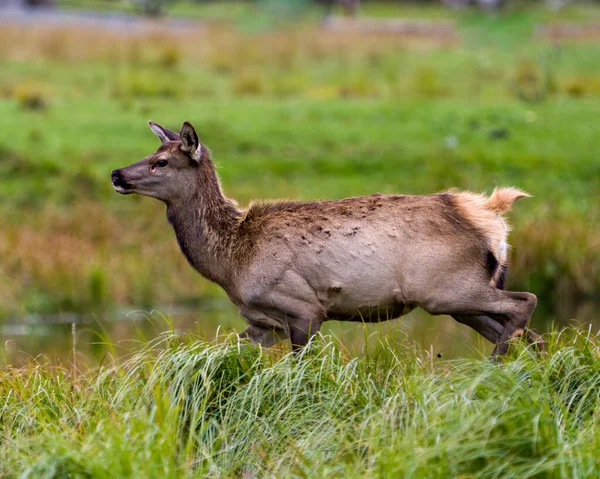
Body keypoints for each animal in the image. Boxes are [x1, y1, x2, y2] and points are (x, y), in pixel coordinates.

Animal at [111, 122, 544, 358]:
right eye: (151, 152)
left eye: (161, 161)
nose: (116, 173)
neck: (231, 260)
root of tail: (489, 219)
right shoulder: (262, 321)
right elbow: (220, 353)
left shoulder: (303, 306)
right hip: (459, 298)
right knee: (528, 333)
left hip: (447, 288)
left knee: (526, 301)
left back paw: (494, 367)